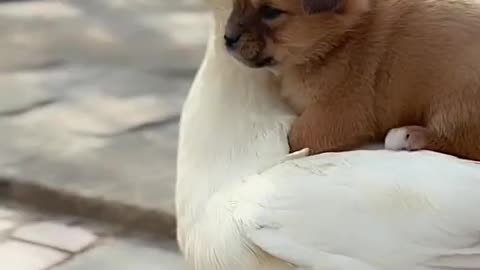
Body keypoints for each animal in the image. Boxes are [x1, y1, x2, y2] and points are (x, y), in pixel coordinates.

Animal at [224, 0, 480, 160]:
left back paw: (405, 136)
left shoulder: (336, 114)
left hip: (457, 97)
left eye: (270, 12)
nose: (227, 39)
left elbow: (296, 138)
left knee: (462, 142)